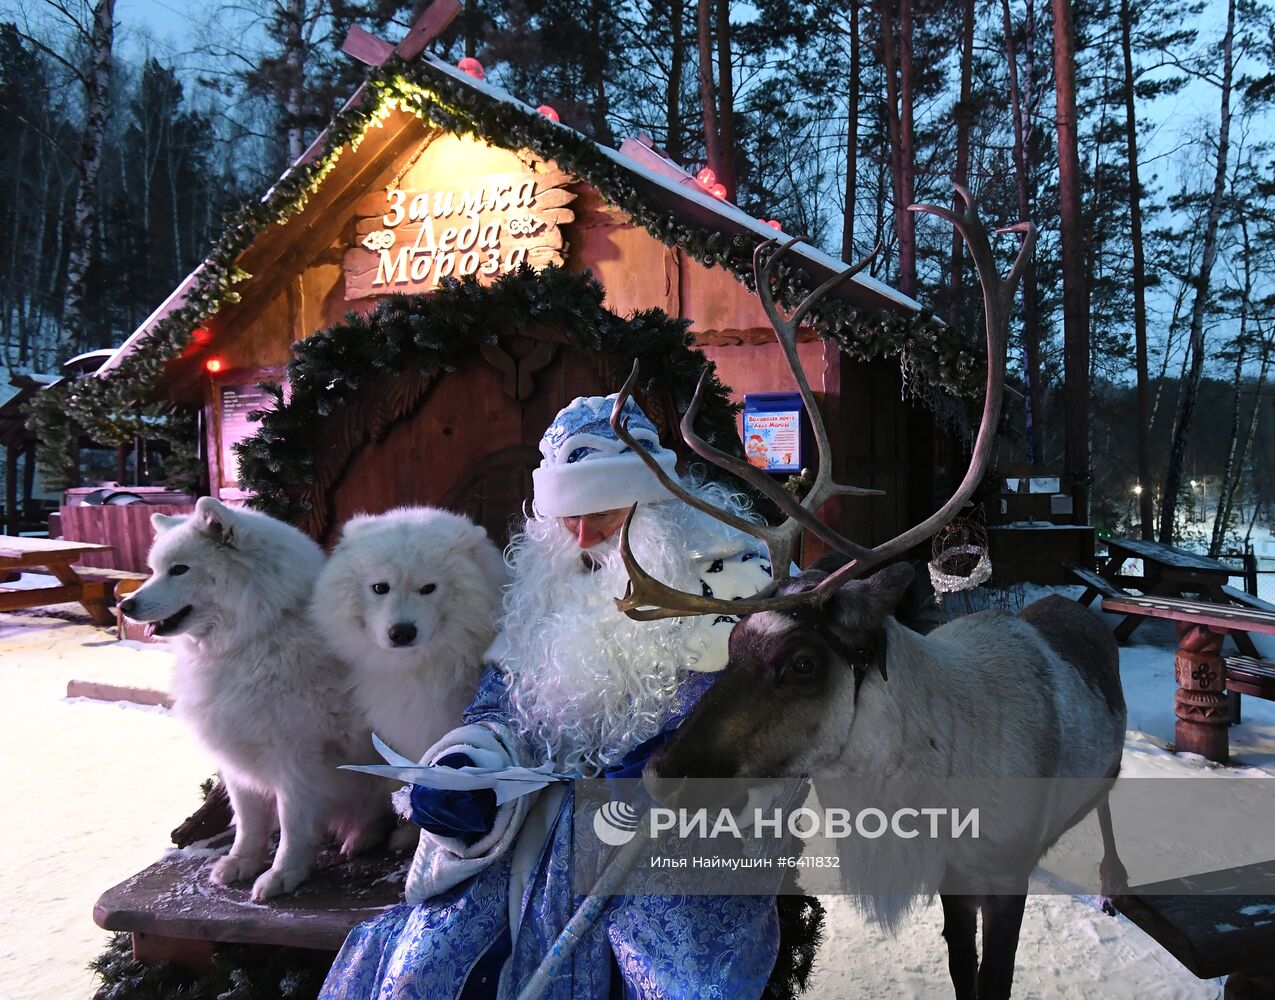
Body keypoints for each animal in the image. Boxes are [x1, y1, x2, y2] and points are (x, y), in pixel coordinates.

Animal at [119, 497, 390, 897]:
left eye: (179, 570)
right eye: (152, 571)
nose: (124, 606)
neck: (254, 637)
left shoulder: (296, 759)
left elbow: (291, 824)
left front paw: (283, 874)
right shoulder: (237, 754)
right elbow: (248, 821)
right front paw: (242, 861)